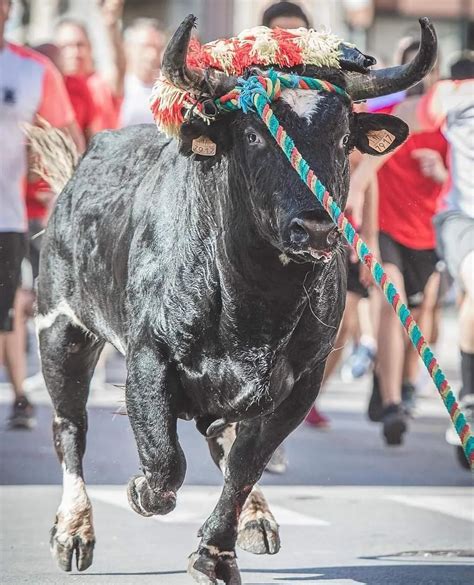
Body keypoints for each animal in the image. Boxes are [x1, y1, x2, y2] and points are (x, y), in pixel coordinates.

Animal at [37, 13, 436, 584]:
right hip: (62, 330)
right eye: (253, 133)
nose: (316, 228)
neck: (254, 301)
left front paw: (215, 551)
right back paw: (73, 531)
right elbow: (164, 463)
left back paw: (256, 518)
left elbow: (246, 462)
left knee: (222, 440)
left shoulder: (301, 381)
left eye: (343, 138)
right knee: (70, 426)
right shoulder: (148, 357)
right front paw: (140, 492)